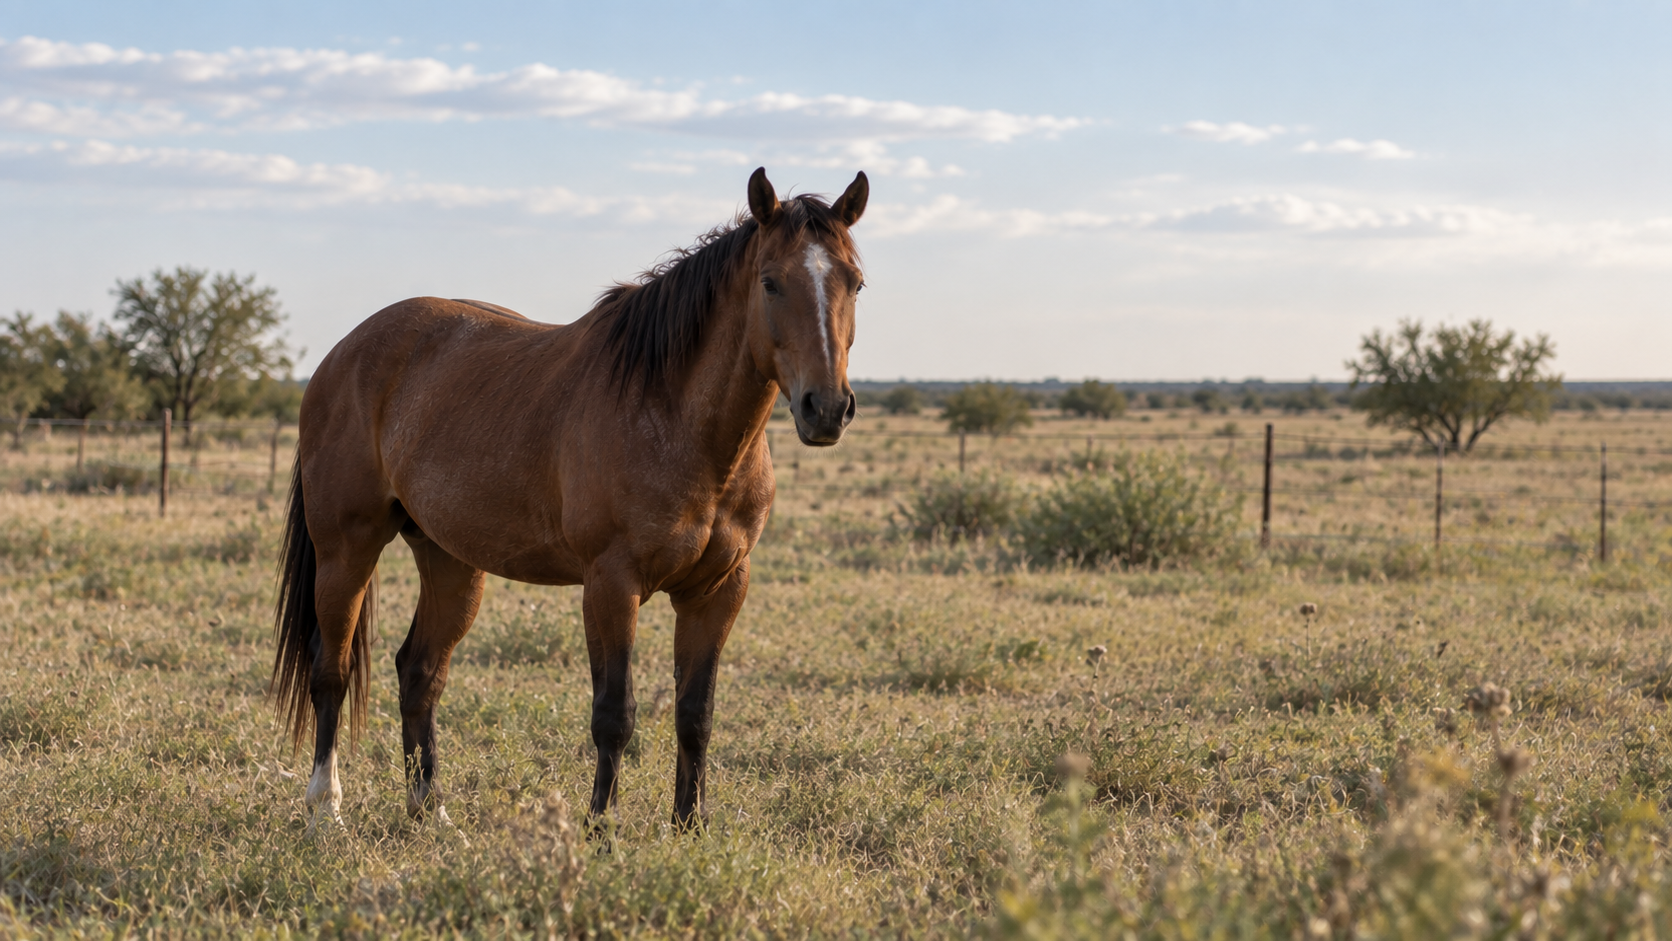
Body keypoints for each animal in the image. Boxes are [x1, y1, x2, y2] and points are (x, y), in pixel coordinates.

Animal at [271, 167, 868, 832]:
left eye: (855, 282)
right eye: (770, 281)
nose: (827, 408)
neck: (676, 418)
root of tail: (340, 356)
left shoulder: (717, 590)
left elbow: (696, 714)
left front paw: (690, 827)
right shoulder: (611, 584)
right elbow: (614, 715)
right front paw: (601, 828)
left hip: (451, 562)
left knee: (419, 673)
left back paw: (431, 812)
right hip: (346, 550)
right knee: (331, 670)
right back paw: (326, 810)